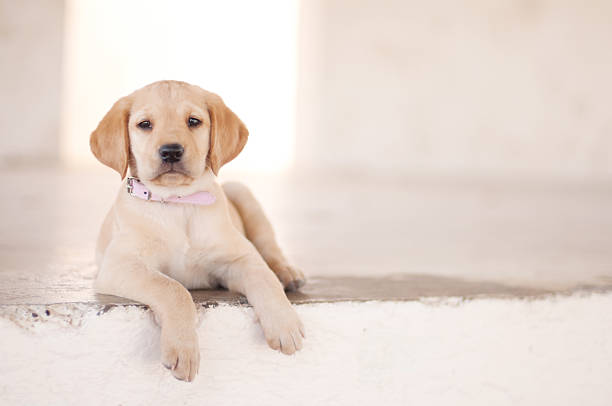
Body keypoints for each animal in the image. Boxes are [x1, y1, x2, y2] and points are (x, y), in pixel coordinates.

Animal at [91, 81, 306, 382]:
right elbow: (173, 288)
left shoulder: (239, 259)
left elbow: (265, 279)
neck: (178, 203)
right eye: (145, 124)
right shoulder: (120, 264)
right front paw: (183, 349)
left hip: (242, 191)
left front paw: (284, 323)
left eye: (193, 121)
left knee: (270, 249)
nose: (171, 151)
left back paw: (287, 273)